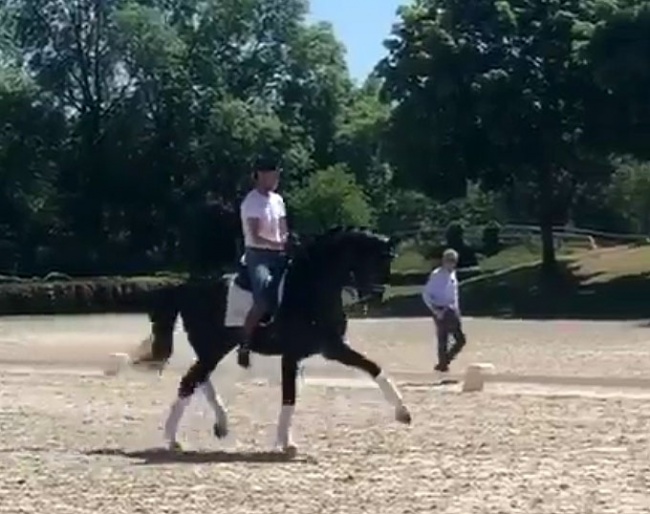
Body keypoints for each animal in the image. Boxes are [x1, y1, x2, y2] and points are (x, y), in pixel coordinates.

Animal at [137, 226, 410, 450]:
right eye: (375, 260)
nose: (376, 296)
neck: (310, 288)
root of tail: (187, 288)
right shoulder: (304, 352)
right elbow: (290, 396)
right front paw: (285, 442)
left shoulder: (328, 349)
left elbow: (373, 367)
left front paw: (403, 412)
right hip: (213, 348)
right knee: (189, 382)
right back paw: (173, 438)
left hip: (211, 349)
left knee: (200, 380)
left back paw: (220, 424)